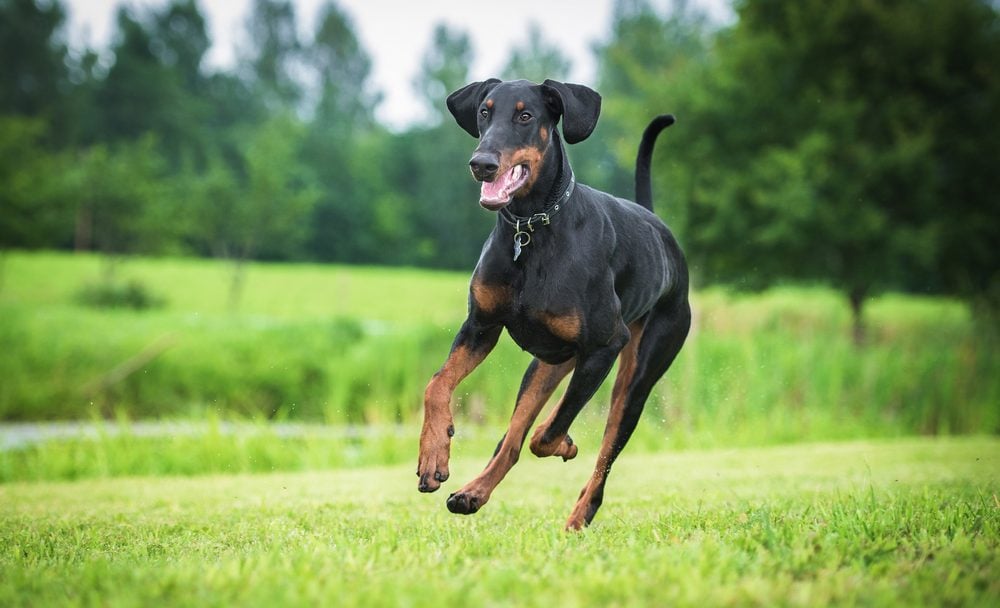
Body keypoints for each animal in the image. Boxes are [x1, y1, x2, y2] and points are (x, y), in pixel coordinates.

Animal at [414, 78, 688, 528]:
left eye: (526, 116)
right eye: (485, 112)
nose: (481, 163)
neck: (530, 230)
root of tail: (661, 230)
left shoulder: (605, 345)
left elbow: (547, 434)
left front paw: (565, 444)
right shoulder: (480, 326)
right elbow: (437, 384)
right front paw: (433, 455)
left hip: (638, 374)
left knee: (601, 451)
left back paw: (579, 515)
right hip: (545, 365)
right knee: (512, 438)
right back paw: (473, 493)